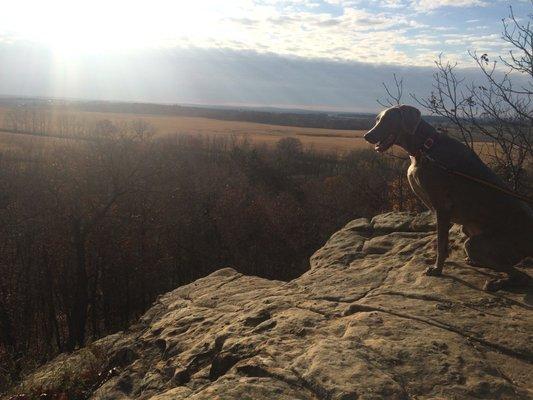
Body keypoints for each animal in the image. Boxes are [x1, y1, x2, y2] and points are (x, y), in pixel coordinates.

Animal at [364, 104, 532, 290]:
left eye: (388, 120)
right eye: (377, 119)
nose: (367, 136)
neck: (426, 148)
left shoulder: (442, 207)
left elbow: (440, 242)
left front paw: (437, 269)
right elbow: (443, 244)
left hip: (476, 243)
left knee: (521, 275)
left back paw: (497, 282)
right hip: (469, 231)